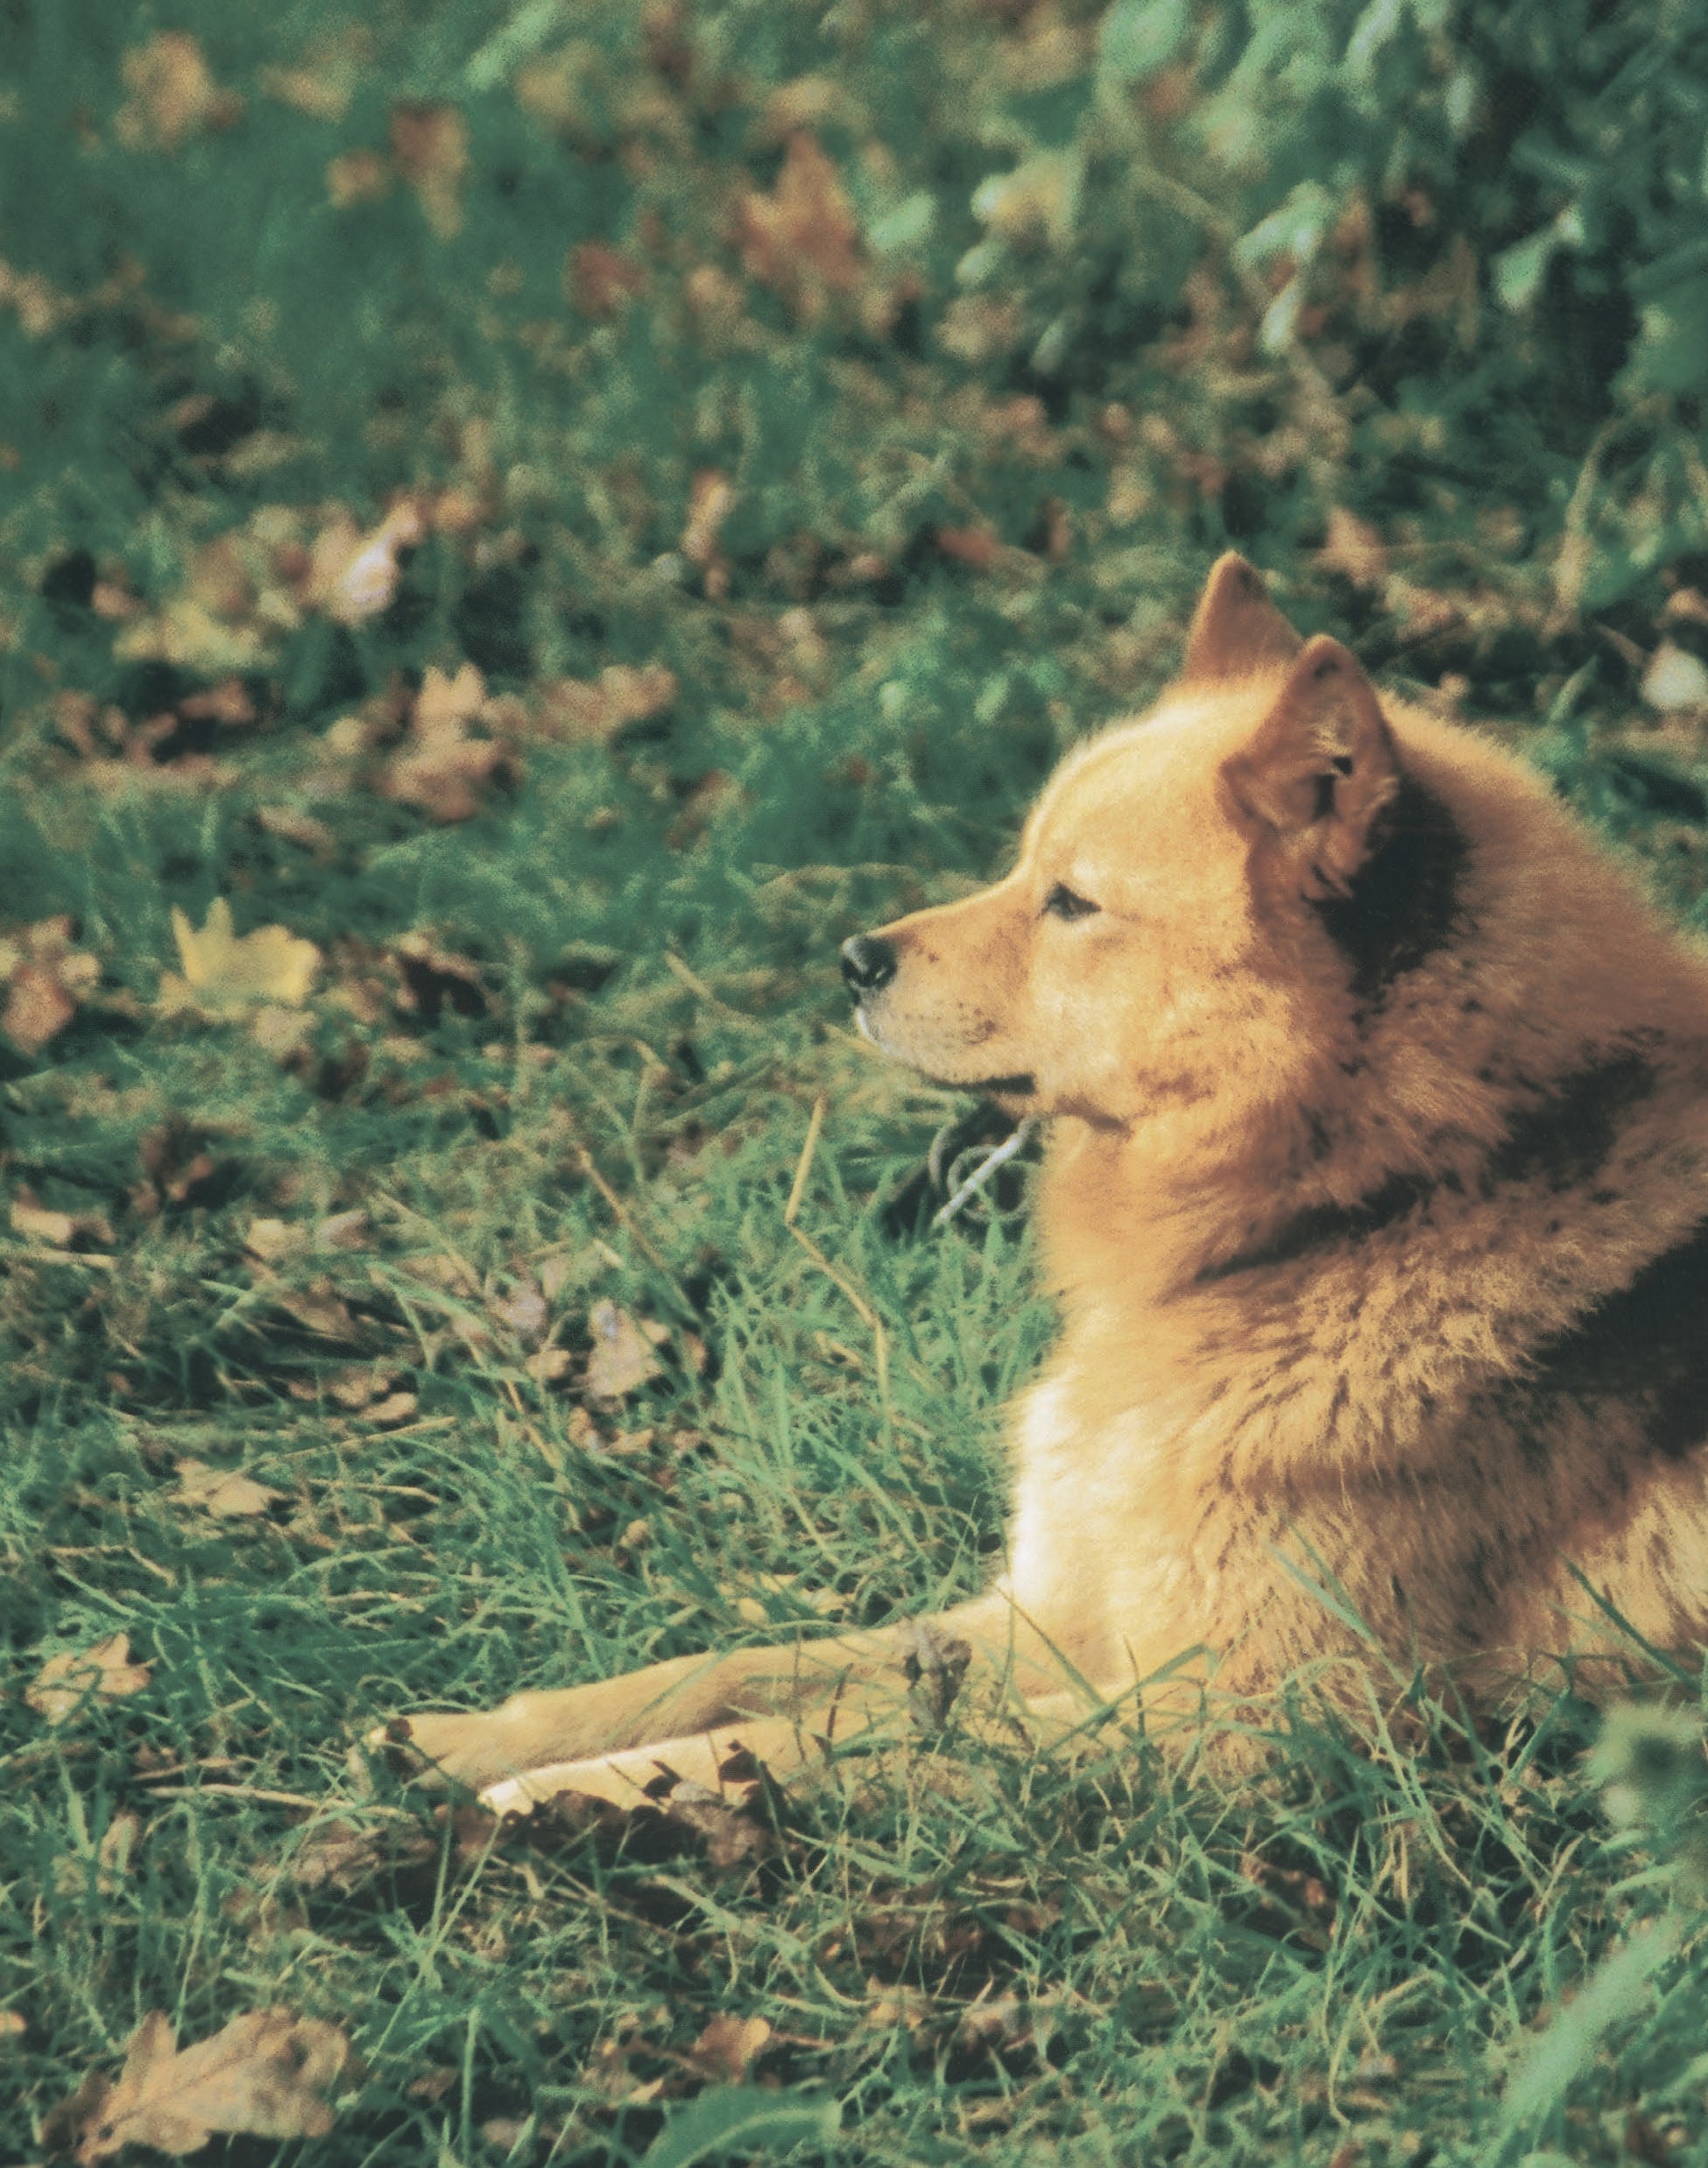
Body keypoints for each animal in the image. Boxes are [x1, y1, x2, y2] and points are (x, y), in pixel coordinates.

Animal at [387, 550, 1708, 1804]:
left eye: (1072, 902)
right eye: (1026, 869)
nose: (850, 959)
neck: (1362, 1213)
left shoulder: (1257, 1720)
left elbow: (843, 1743)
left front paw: (578, 1797)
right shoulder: (1055, 1611)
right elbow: (742, 1670)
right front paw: (479, 1737)